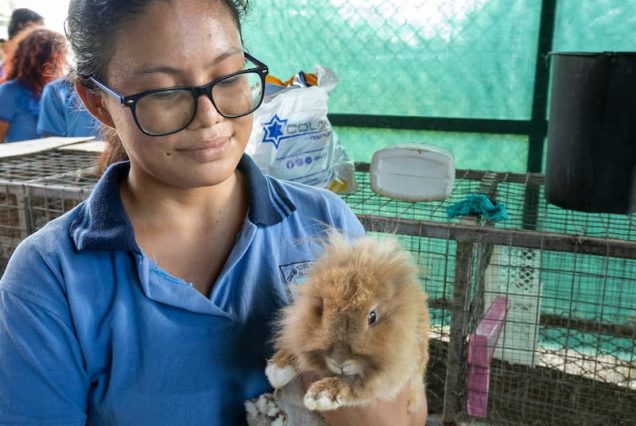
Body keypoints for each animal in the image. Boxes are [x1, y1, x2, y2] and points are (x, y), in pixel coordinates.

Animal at [264, 231, 428, 414]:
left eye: (372, 317)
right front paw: (276, 371)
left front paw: (321, 395)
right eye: (321, 309)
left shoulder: (392, 379)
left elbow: (356, 387)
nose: (339, 362)